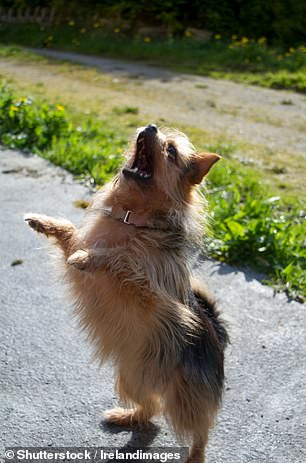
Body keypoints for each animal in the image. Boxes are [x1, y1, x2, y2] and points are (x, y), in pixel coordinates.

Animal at [25, 125, 227, 462]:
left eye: (171, 151)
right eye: (154, 131)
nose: (149, 127)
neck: (132, 218)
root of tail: (220, 338)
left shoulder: (153, 299)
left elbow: (120, 259)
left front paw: (92, 257)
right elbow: (72, 234)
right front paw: (45, 223)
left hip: (186, 399)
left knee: (200, 431)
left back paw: (195, 455)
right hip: (130, 377)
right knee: (151, 409)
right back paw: (126, 416)